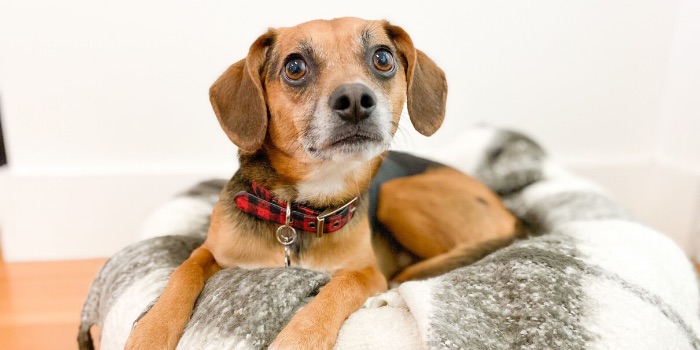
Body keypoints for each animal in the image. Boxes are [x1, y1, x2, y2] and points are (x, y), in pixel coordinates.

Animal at [126, 17, 520, 350]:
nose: (356, 100)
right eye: (294, 67)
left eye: (382, 58)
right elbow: (183, 272)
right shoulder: (211, 251)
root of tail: (514, 217)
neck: (300, 211)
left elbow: (338, 288)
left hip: (397, 194)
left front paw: (299, 338)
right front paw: (151, 332)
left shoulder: (366, 271)